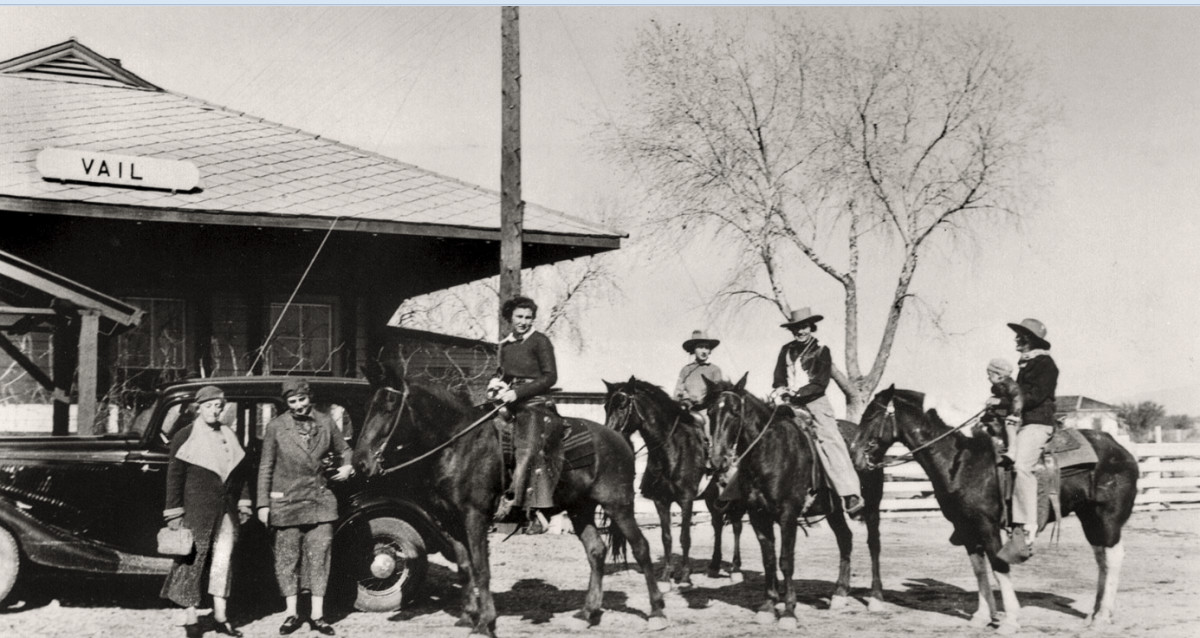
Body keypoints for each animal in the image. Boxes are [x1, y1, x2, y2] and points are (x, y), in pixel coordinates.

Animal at [355, 364, 667, 638]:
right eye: (367, 406)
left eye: (388, 407)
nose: (360, 464)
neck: (460, 446)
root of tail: (619, 438)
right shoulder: (449, 520)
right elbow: (465, 567)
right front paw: (468, 616)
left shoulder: (475, 516)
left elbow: (481, 568)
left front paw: (485, 623)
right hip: (581, 509)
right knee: (596, 551)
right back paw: (587, 614)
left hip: (619, 505)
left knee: (641, 548)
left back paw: (657, 613)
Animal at [604, 378, 744, 587]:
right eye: (606, 406)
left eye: (622, 405)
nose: (609, 437)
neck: (672, 450)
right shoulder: (661, 501)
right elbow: (667, 537)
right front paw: (665, 576)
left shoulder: (686, 500)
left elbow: (685, 537)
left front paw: (685, 576)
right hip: (711, 498)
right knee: (717, 524)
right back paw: (714, 566)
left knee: (736, 525)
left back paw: (735, 568)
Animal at [705, 376, 888, 623]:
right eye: (710, 412)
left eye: (735, 412)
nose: (717, 461)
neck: (771, 451)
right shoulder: (758, 516)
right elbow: (769, 559)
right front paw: (768, 606)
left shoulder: (788, 515)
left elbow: (785, 560)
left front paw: (789, 612)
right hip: (833, 511)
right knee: (845, 539)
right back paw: (840, 593)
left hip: (872, 506)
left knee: (874, 544)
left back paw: (876, 597)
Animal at [849, 383, 1137, 633]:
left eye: (871, 416)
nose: (854, 456)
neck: (963, 458)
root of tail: (1121, 450)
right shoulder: (965, 526)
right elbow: (978, 568)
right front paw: (981, 616)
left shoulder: (987, 525)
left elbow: (998, 564)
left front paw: (1010, 620)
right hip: (1089, 516)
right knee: (1101, 559)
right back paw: (1095, 613)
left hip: (1108, 517)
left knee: (1114, 557)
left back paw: (1102, 617)